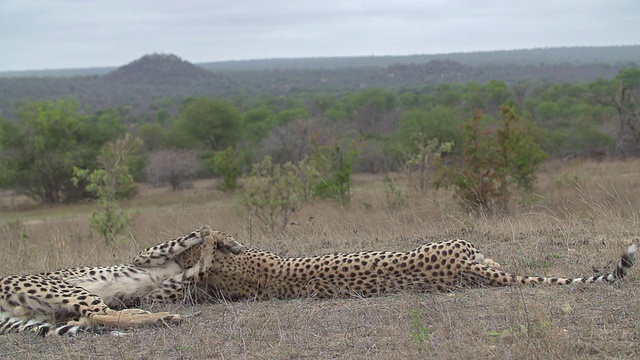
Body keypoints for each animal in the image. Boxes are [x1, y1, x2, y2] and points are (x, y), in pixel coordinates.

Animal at [0, 228, 205, 334]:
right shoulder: (143, 257)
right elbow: (177, 241)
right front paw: (204, 234)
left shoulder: (164, 287)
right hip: (68, 290)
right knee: (101, 315)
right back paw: (163, 317)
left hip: (46, 313)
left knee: (95, 317)